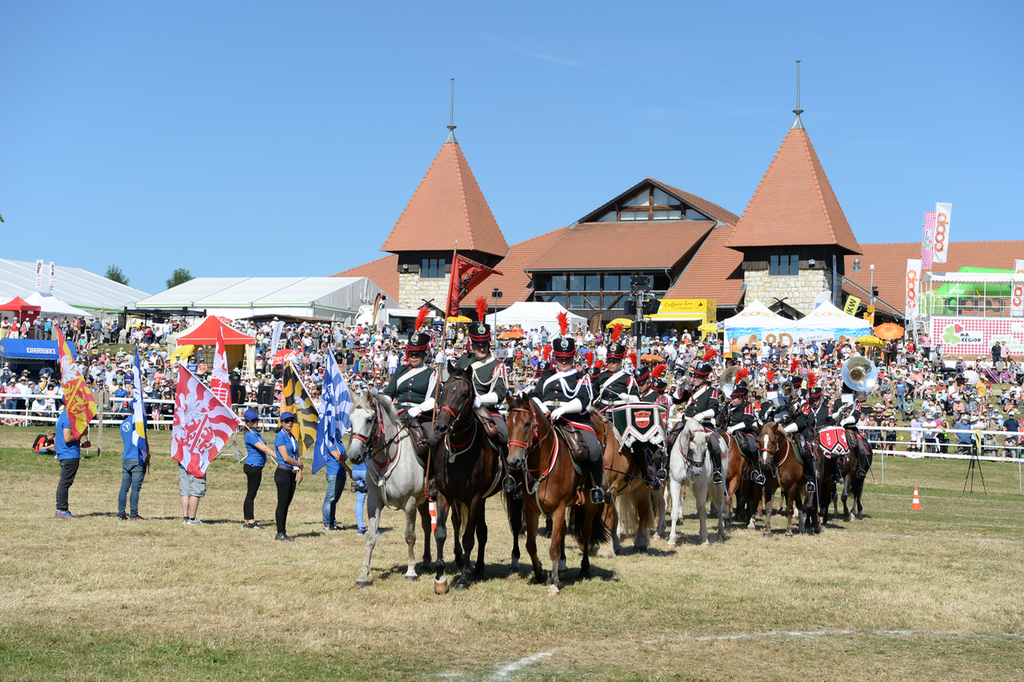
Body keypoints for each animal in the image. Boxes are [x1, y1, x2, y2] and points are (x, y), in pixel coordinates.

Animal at [350, 391, 434, 585]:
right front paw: (363, 575)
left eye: (369, 419)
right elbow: (370, 538)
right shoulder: (373, 503)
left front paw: (410, 571)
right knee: (427, 525)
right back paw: (426, 562)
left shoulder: (410, 503)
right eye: (350, 420)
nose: (354, 456)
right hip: (423, 500)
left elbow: (409, 536)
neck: (385, 460)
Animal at [430, 364, 520, 593]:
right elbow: (441, 532)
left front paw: (463, 578)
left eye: (464, 394)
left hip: (513, 495)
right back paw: (478, 568)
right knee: (483, 531)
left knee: (515, 524)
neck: (458, 450)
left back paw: (514, 559)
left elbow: (468, 538)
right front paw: (440, 576)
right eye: (443, 391)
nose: (440, 426)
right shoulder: (445, 495)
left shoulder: (474, 498)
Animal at [503, 393, 606, 593]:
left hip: (589, 505)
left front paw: (554, 583)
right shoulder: (532, 510)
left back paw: (584, 568)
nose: (513, 461)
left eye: (527, 423)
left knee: (586, 532)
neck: (543, 464)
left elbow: (554, 548)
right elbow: (531, 545)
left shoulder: (558, 509)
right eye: (508, 423)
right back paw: (564, 567)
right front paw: (541, 574)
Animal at [663, 413, 729, 548]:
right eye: (691, 449)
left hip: (718, 484)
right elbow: (675, 512)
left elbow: (703, 511)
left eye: (705, 450)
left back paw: (720, 531)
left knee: (720, 502)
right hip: (695, 488)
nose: (698, 471)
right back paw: (701, 532)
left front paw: (705, 540)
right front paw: (672, 540)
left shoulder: (702, 485)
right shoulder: (675, 483)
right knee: (699, 506)